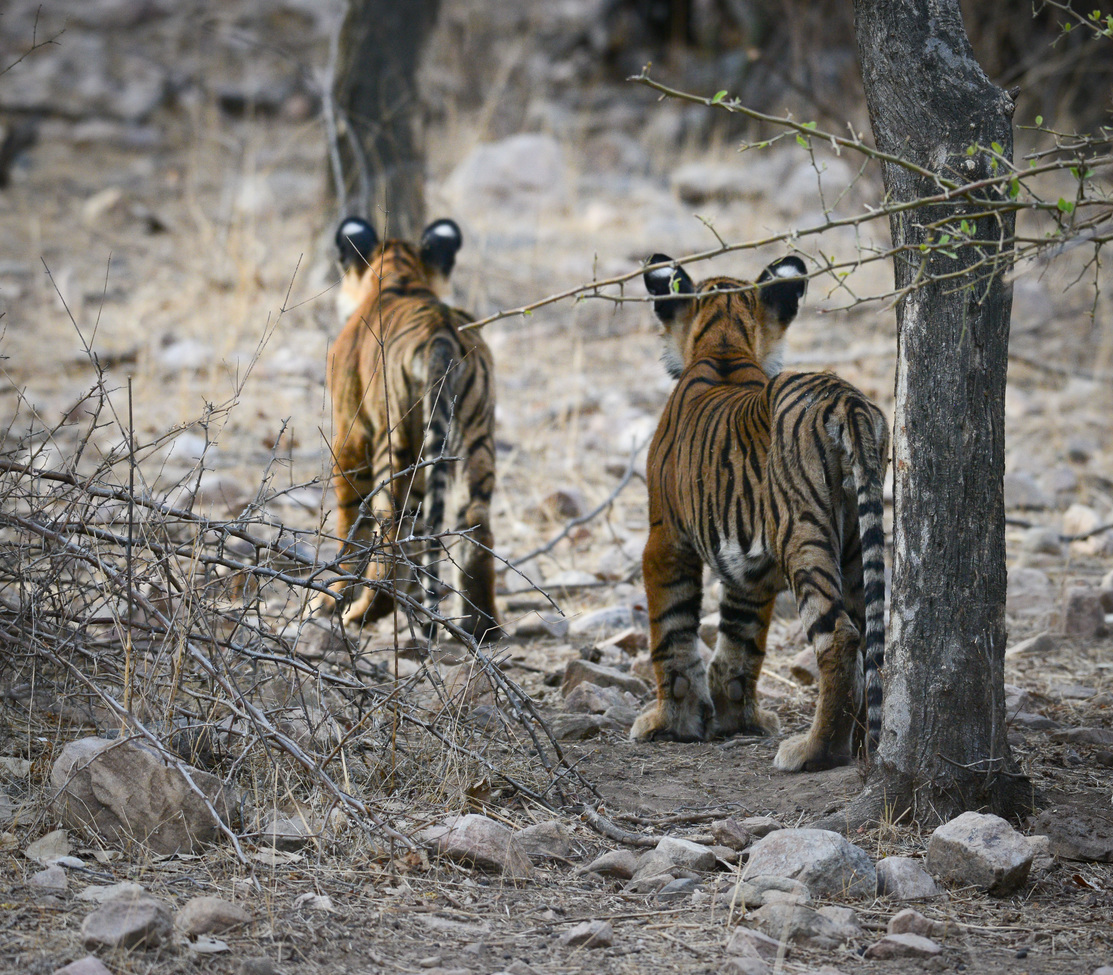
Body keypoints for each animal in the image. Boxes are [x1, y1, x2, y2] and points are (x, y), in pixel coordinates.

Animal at [311, 215, 502, 644]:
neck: (401, 272)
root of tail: (441, 334)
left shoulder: (350, 433)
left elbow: (350, 521)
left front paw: (331, 599)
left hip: (392, 442)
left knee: (390, 532)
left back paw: (363, 612)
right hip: (476, 438)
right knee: (476, 526)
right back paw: (482, 624)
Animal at [631, 253, 889, 772]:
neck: (725, 340)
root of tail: (846, 399)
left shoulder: (665, 538)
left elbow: (671, 632)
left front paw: (671, 723)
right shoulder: (750, 566)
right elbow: (740, 640)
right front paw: (736, 719)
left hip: (803, 532)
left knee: (839, 637)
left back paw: (813, 752)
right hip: (855, 540)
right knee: (868, 634)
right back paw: (857, 745)